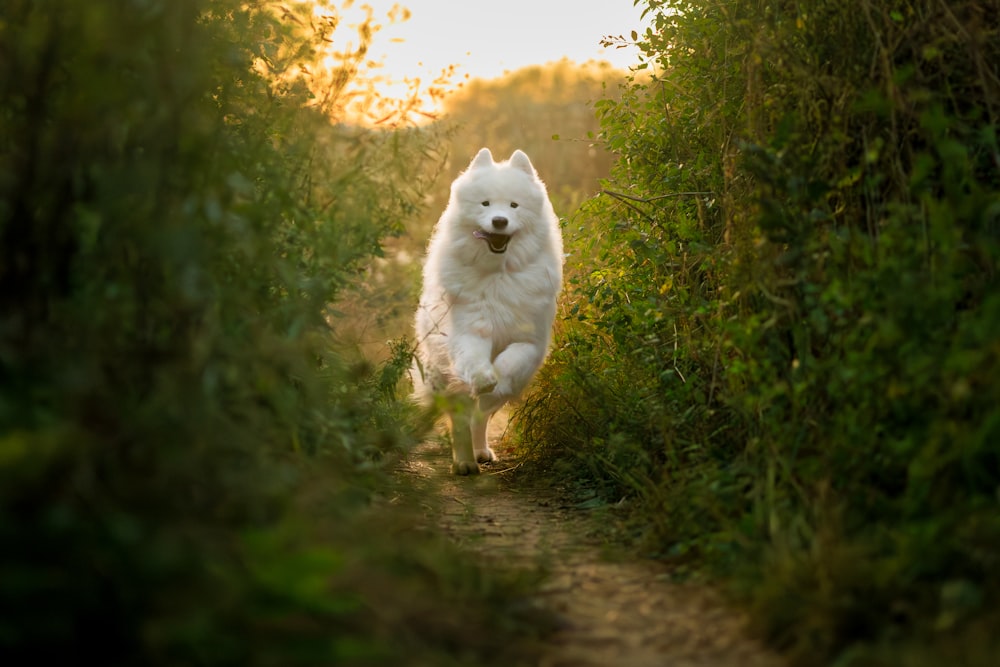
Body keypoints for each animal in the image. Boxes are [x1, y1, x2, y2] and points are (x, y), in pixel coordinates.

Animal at [408, 150, 564, 474]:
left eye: (514, 205)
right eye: (486, 204)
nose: (500, 221)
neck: (497, 275)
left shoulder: (528, 341)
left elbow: (511, 363)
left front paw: (496, 378)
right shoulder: (470, 330)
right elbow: (474, 360)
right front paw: (483, 378)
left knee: (481, 417)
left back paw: (480, 451)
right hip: (445, 375)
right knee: (461, 419)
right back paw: (465, 462)